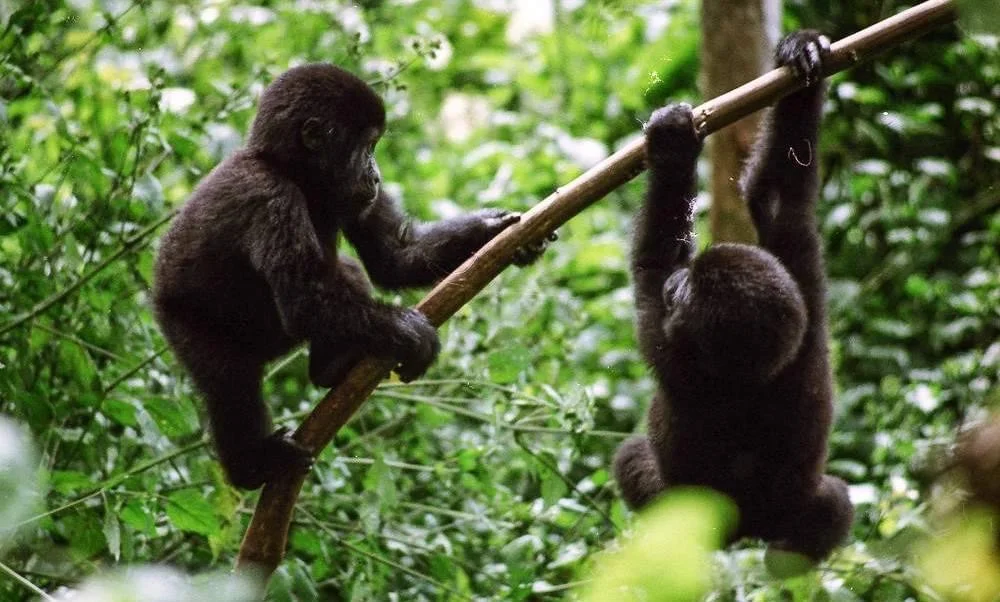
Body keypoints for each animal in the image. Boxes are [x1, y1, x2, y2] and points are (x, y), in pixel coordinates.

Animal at [153, 64, 546, 489]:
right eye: (367, 147)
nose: (376, 176)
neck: (290, 169)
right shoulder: (268, 196)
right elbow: (306, 300)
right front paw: (413, 332)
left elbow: (396, 254)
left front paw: (498, 232)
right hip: (183, 325)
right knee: (230, 382)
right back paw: (252, 467)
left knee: (350, 273)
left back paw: (332, 366)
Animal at [613, 31, 854, 562]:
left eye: (685, 294)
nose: (675, 286)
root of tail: (750, 531)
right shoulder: (804, 301)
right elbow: (781, 197)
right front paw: (803, 56)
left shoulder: (676, 356)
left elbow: (650, 264)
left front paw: (672, 149)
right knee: (835, 503)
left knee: (629, 459)